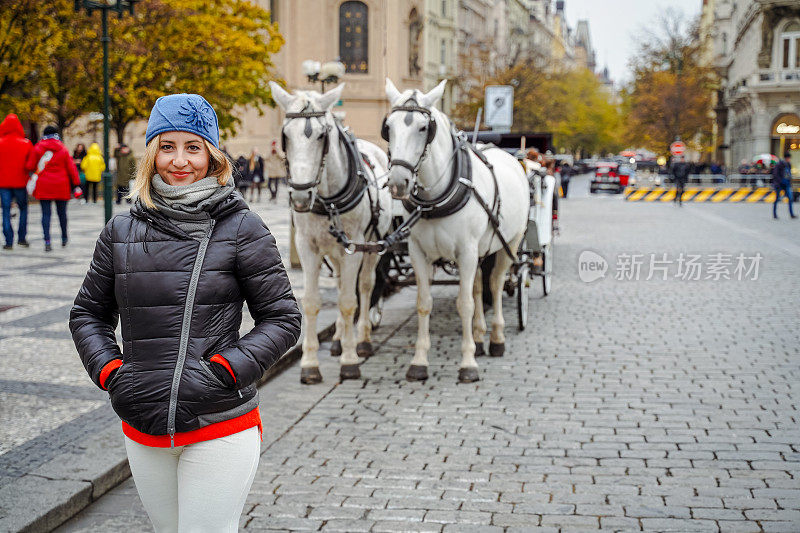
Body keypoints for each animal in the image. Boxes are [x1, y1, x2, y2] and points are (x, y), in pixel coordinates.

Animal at [268, 82, 394, 382]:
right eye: (285, 135)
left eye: (321, 136)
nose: (300, 196)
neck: (328, 199)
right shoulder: (307, 247)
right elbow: (312, 302)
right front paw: (310, 364)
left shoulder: (354, 248)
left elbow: (349, 301)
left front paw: (350, 360)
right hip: (335, 252)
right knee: (339, 286)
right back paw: (337, 338)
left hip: (370, 247)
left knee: (365, 286)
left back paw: (361, 339)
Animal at [382, 77, 528, 380]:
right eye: (388, 127)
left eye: (423, 128)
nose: (398, 182)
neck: (436, 199)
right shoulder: (419, 253)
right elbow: (425, 303)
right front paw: (419, 362)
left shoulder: (467, 252)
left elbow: (465, 304)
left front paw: (468, 364)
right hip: (481, 251)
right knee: (478, 287)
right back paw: (480, 336)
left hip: (509, 243)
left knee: (496, 284)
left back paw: (496, 338)